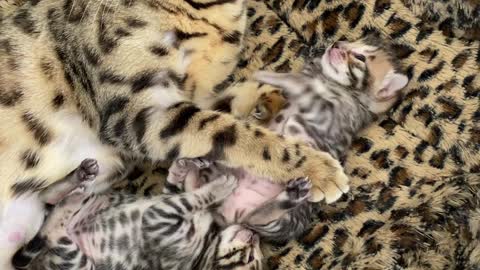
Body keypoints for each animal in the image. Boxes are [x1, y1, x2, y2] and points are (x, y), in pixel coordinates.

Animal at [0, 0, 348, 268]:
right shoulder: (137, 111)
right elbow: (228, 131)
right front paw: (318, 169)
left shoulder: (195, 96)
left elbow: (227, 108)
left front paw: (275, 93)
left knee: (50, 200)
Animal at [167, 35, 406, 243]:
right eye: (348, 42)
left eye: (360, 57)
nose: (337, 44)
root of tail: (229, 215)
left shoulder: (324, 110)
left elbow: (299, 88)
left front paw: (269, 79)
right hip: (224, 173)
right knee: (198, 187)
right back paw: (187, 167)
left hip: (284, 221)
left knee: (257, 218)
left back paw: (291, 195)